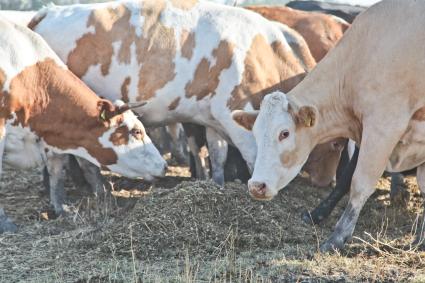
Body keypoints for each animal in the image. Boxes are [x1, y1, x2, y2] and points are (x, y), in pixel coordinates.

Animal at [0, 17, 167, 232]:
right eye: (136, 131)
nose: (165, 166)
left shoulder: (51, 135)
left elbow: (57, 171)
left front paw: (61, 208)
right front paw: (5, 223)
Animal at [234, 0, 425, 253]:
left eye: (284, 133)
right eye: (255, 135)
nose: (257, 186)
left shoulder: (383, 127)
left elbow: (359, 183)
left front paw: (337, 236)